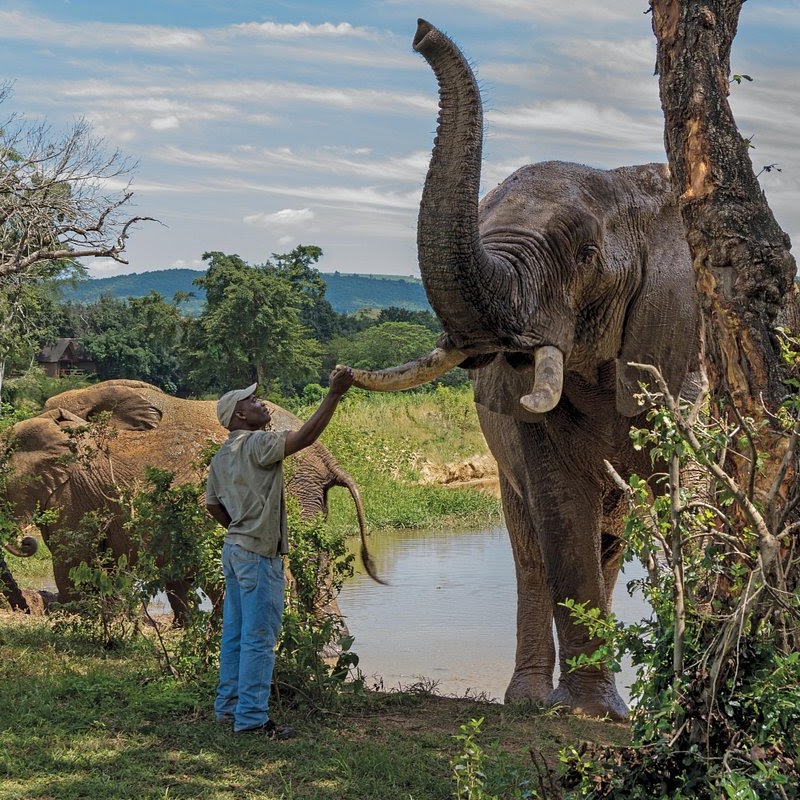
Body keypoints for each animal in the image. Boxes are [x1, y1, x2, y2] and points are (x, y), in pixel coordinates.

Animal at [343, 20, 701, 720]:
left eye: (586, 255)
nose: (420, 30)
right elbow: (560, 514)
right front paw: (587, 714)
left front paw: (615, 711)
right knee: (536, 544)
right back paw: (529, 702)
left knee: (607, 537)